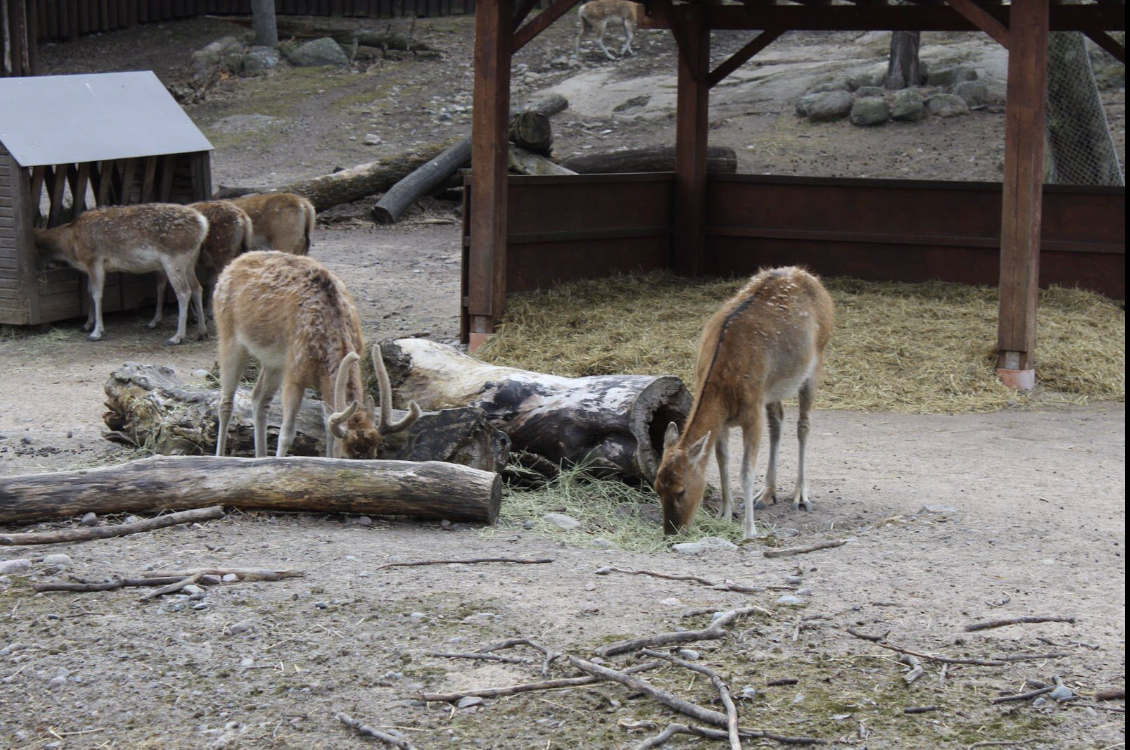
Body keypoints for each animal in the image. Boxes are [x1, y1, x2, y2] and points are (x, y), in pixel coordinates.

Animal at [33, 203, 208, 345]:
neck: (71, 243)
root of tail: (203, 225)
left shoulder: (95, 260)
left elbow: (97, 294)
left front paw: (96, 332)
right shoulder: (90, 266)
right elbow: (89, 291)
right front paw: (87, 324)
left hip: (174, 259)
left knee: (184, 292)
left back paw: (177, 337)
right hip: (189, 262)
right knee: (197, 288)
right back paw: (201, 332)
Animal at [213, 250, 421, 460]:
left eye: (375, 453)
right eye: (345, 456)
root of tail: (232, 264)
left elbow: (327, 427)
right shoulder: (295, 372)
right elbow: (286, 433)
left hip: (273, 361)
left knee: (259, 397)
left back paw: (261, 456)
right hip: (228, 334)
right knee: (226, 402)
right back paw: (220, 456)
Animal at [654, 267, 835, 541]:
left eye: (681, 490)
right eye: (656, 488)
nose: (672, 533)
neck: (723, 386)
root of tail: (809, 276)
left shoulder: (752, 410)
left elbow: (746, 471)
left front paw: (750, 531)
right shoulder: (723, 420)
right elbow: (722, 459)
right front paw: (726, 513)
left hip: (816, 362)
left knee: (803, 425)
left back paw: (800, 496)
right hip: (771, 389)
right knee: (777, 421)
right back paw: (767, 493)